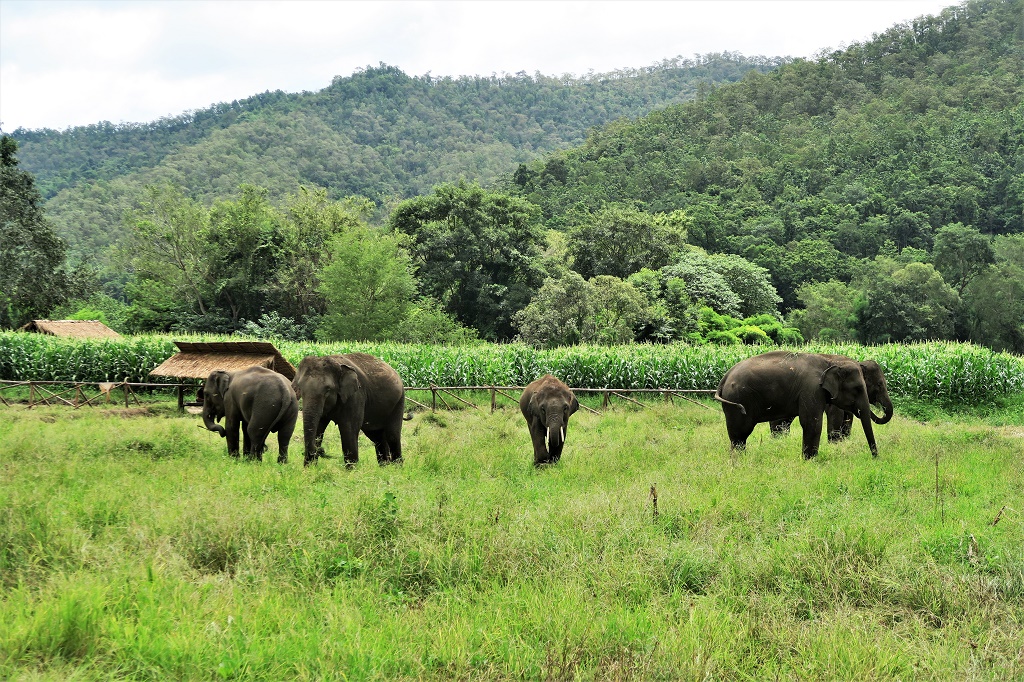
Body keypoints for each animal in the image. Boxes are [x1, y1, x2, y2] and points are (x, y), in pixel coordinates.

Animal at [715, 351, 890, 459]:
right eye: (858, 388)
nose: (875, 457)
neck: (830, 360)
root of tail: (724, 378)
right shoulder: (811, 389)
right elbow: (813, 422)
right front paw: (811, 460)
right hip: (738, 400)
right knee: (740, 434)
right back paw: (738, 460)